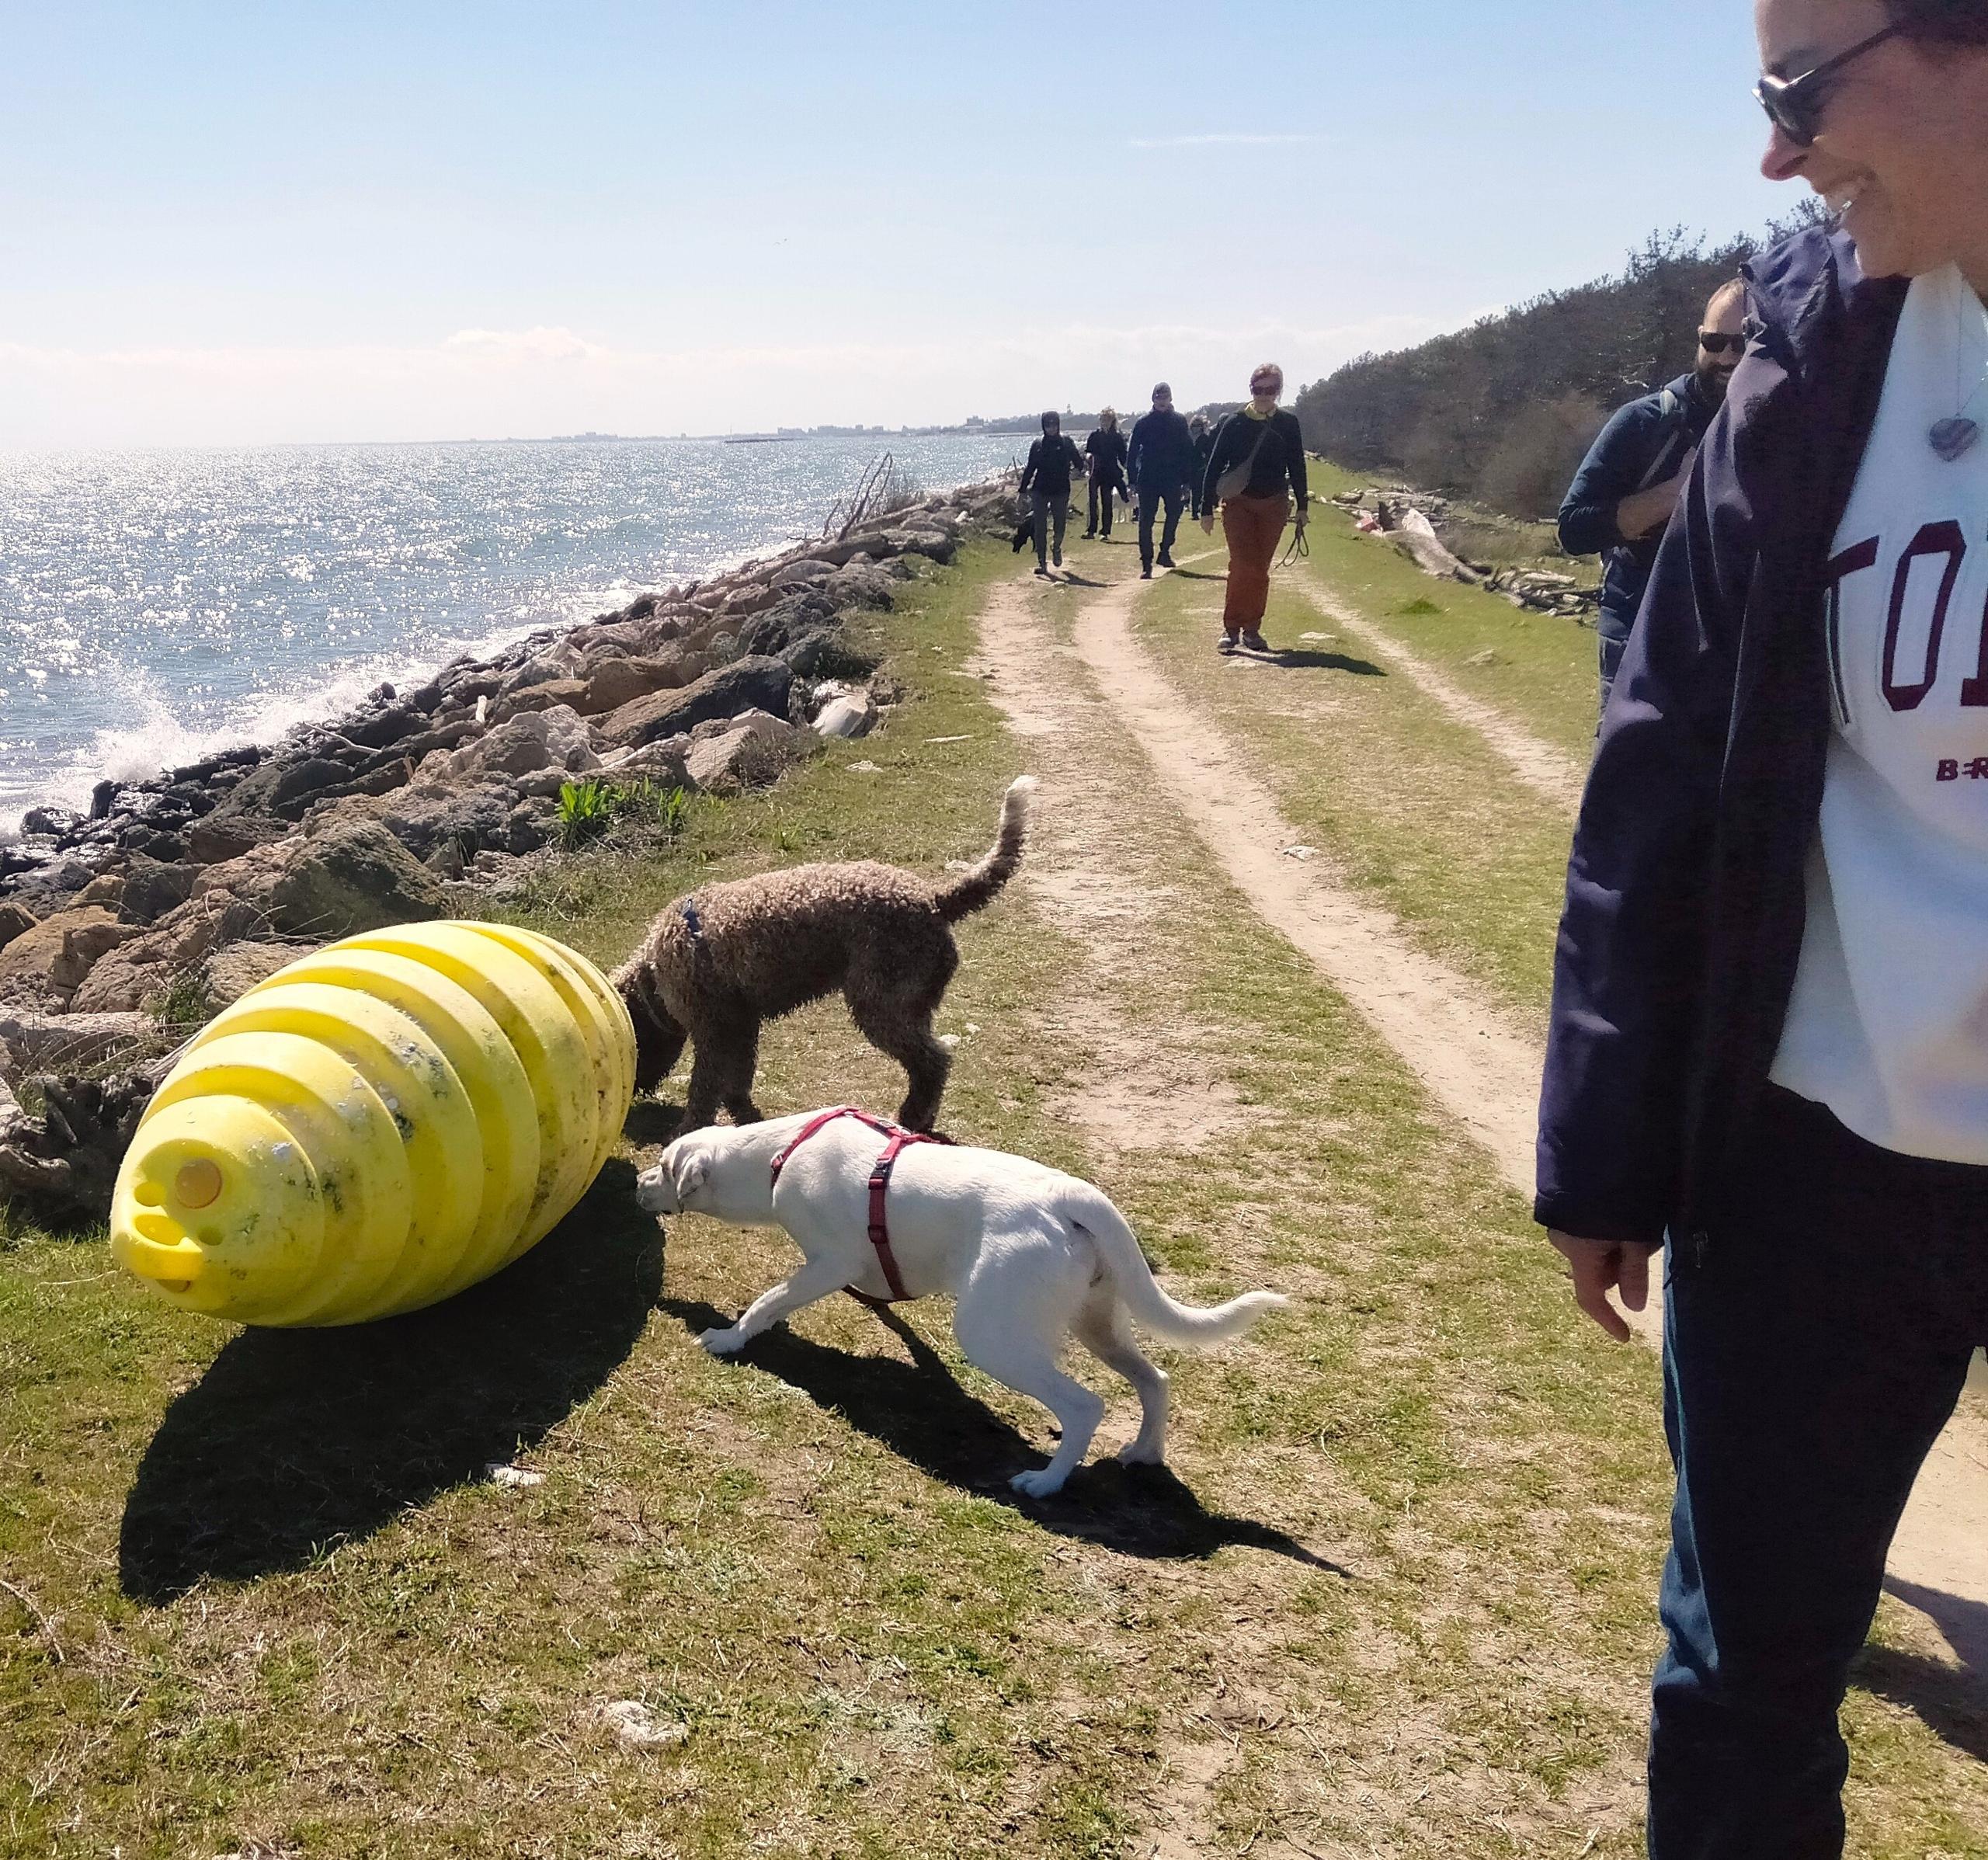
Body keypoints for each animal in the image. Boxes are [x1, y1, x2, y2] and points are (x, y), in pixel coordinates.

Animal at [612, 774, 1034, 1136]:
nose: (633, 1096)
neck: (655, 973)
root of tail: (933, 901)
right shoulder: (741, 1025)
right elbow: (738, 1079)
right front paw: (742, 1114)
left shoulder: (713, 1031)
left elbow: (704, 1088)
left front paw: (686, 1130)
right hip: (909, 1005)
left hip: (881, 1005)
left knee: (933, 1062)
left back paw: (912, 1116)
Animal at [636, 1104, 1288, 1494]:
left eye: (665, 1167)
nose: (639, 1183)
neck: (780, 1152)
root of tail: (1072, 1195)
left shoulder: (826, 1263)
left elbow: (768, 1300)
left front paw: (728, 1338)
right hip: (1096, 1322)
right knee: (1155, 1380)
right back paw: (1145, 1452)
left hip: (991, 1335)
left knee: (1084, 1406)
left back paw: (1045, 1482)